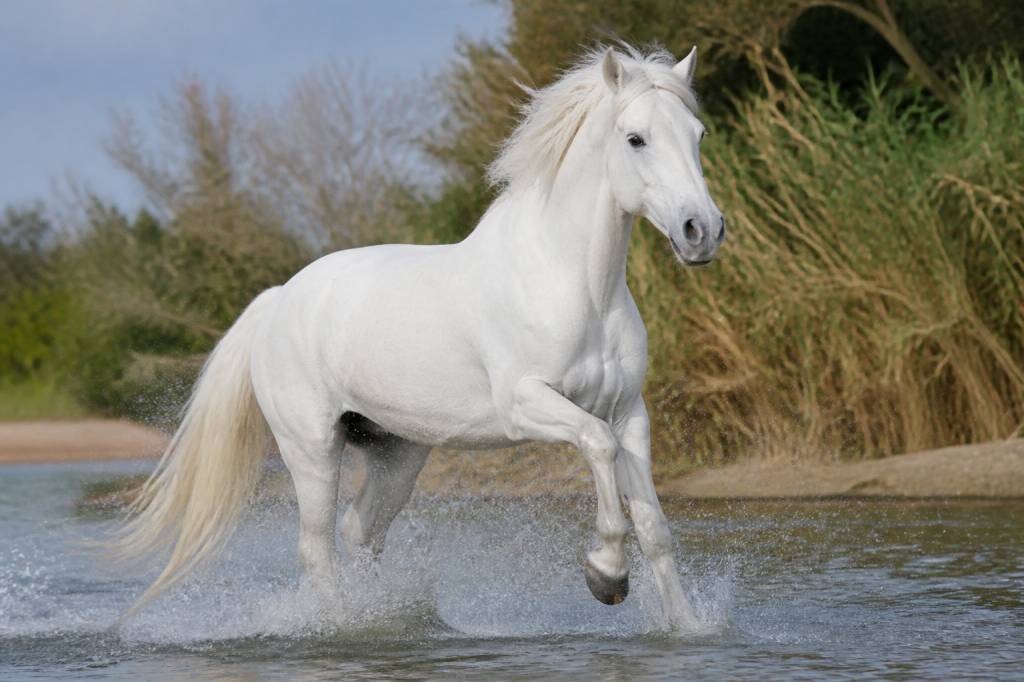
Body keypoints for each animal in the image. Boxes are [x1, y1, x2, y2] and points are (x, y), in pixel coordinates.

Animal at [114, 44, 725, 630]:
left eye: (698, 135)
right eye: (635, 138)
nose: (702, 231)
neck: (576, 285)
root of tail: (278, 300)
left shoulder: (628, 412)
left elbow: (654, 526)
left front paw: (688, 627)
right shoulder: (527, 405)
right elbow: (596, 446)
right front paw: (606, 576)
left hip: (397, 451)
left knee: (360, 531)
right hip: (311, 449)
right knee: (316, 547)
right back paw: (343, 626)